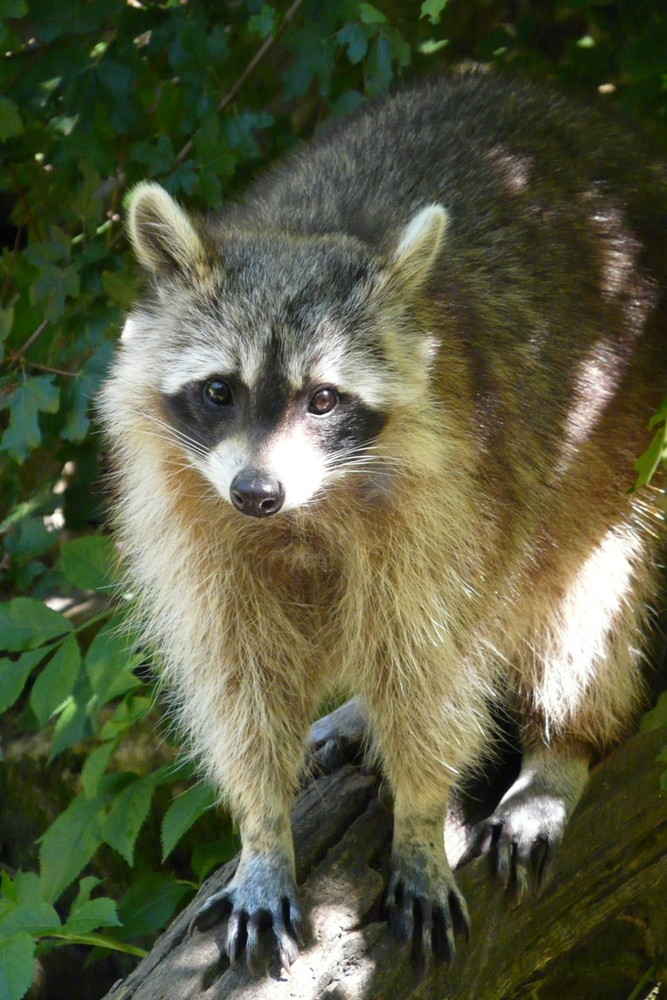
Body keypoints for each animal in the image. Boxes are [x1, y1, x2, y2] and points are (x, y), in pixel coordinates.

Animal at [100, 72, 667, 976]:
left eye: (323, 399)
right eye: (220, 390)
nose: (256, 492)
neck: (306, 511)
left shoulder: (454, 493)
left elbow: (433, 668)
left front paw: (420, 819)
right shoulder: (191, 519)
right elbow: (237, 682)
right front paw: (261, 829)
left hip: (621, 425)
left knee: (584, 599)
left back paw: (562, 745)